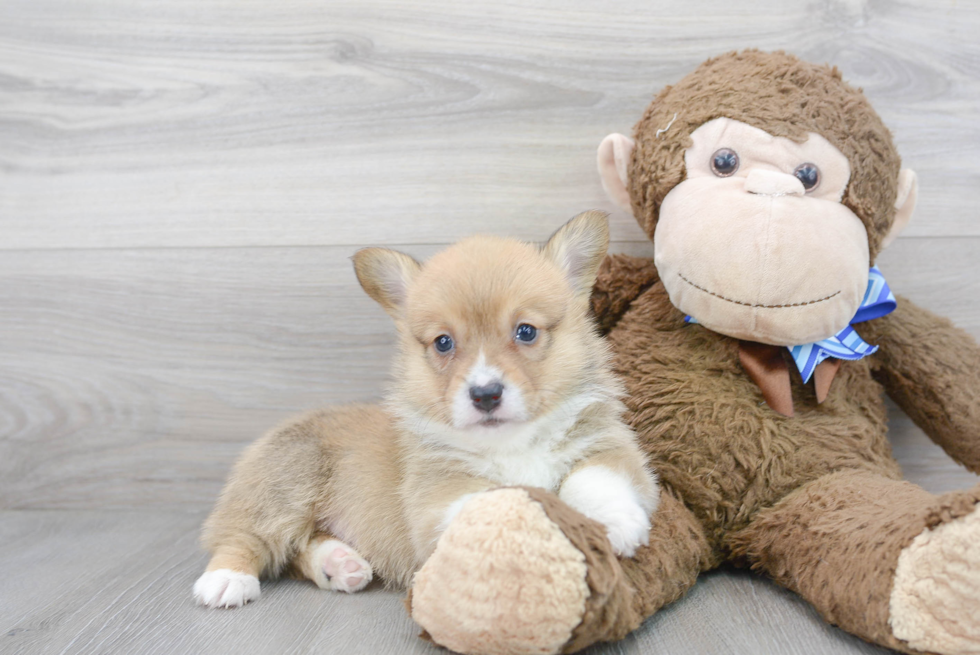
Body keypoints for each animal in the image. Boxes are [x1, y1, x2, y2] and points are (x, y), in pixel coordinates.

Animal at [191, 211, 660, 608]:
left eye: (526, 331)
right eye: (443, 343)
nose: (485, 394)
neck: (511, 443)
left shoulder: (608, 448)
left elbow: (592, 478)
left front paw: (614, 523)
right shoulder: (437, 497)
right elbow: (492, 501)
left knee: (301, 549)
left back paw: (339, 564)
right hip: (284, 488)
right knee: (244, 538)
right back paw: (227, 579)